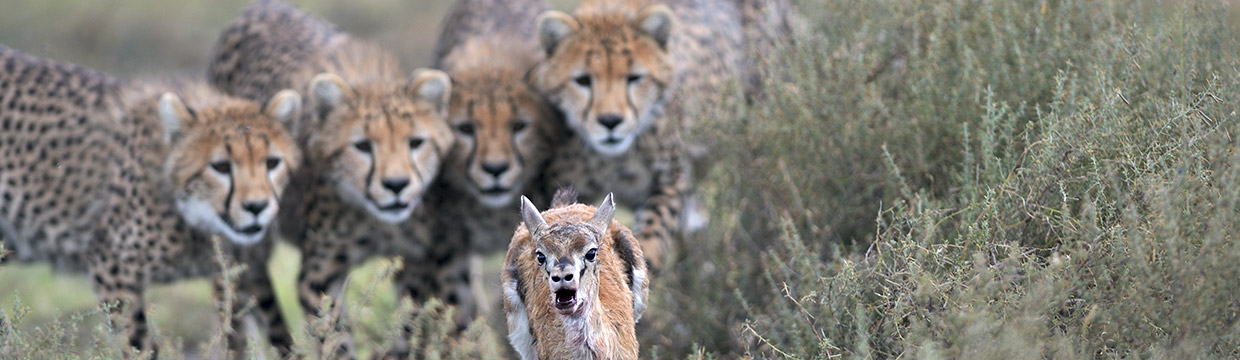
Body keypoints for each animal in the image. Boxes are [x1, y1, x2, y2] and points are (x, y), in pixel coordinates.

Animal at [0, 44, 302, 355]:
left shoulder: (242, 274)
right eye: (220, 166)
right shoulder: (111, 269)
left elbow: (268, 334)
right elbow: (138, 346)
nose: (257, 207)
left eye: (272, 163)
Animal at [208, 0, 461, 355]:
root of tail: (258, 7)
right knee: (234, 290)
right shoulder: (319, 276)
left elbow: (408, 327)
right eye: (362, 146)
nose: (396, 186)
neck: (374, 218)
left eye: (415, 143)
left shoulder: (415, 261)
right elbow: (334, 339)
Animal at [525, 0, 744, 270]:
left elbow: (653, 231)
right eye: (583, 80)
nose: (610, 121)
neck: (613, 158)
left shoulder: (671, 179)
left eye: (634, 78)